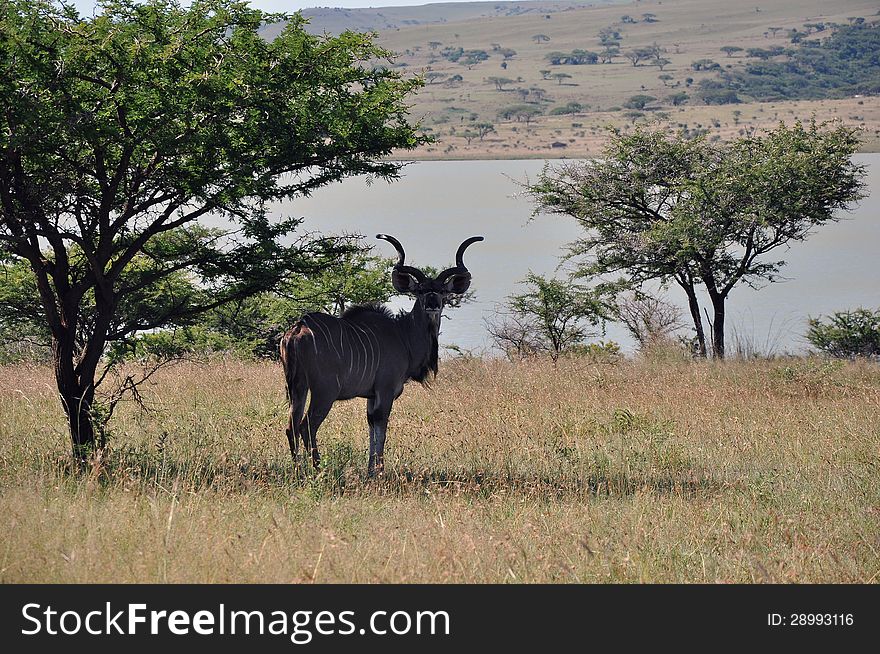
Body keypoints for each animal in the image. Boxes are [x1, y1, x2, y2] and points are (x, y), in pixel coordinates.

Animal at [278, 236, 482, 476]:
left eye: (442, 291)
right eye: (420, 290)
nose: (433, 304)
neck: (403, 334)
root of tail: (298, 330)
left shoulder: (371, 395)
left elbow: (371, 426)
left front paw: (370, 471)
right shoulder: (386, 390)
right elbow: (381, 426)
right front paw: (379, 472)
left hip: (297, 387)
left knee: (291, 426)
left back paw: (298, 470)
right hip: (324, 392)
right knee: (306, 426)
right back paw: (319, 470)